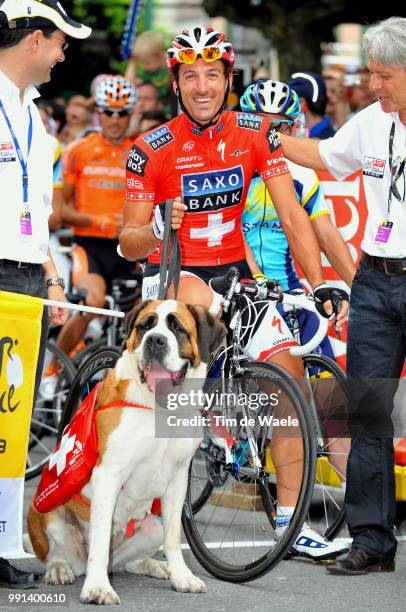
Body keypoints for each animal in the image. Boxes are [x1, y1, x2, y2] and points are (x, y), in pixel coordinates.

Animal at [27, 298, 227, 604]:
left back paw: (156, 566)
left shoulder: (178, 479)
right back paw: (60, 569)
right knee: (60, 553)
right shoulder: (108, 474)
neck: (160, 408)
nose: (155, 340)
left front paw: (182, 577)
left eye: (177, 328)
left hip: (152, 526)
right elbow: (99, 541)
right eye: (146, 325)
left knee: (131, 560)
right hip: (47, 513)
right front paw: (98, 589)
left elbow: (173, 537)